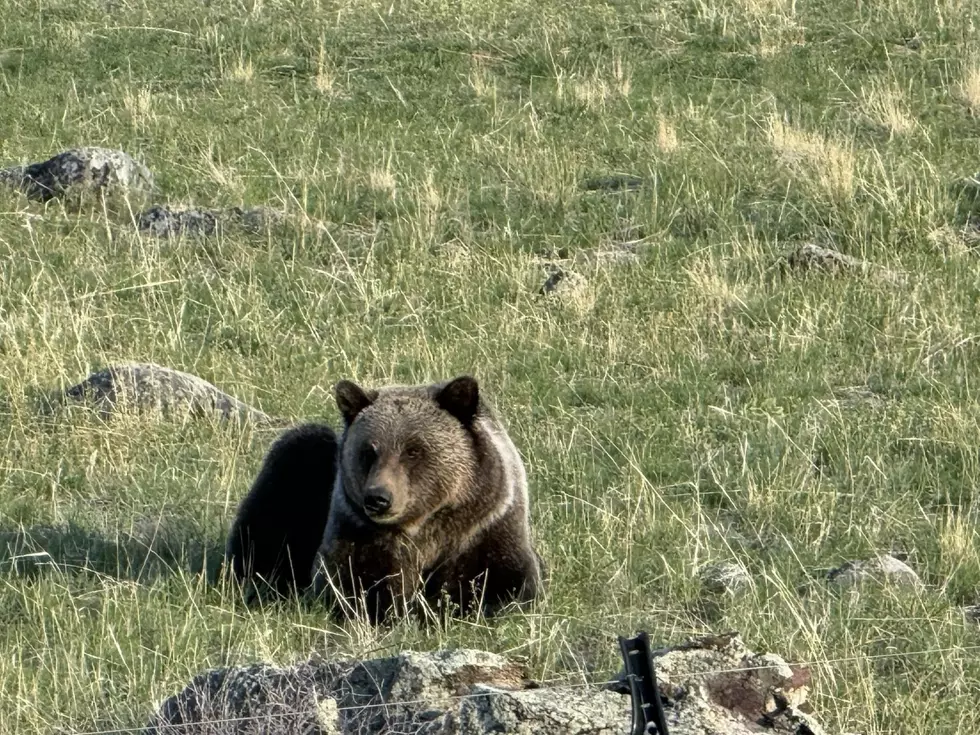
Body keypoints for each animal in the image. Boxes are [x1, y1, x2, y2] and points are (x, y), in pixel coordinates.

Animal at [310, 375, 545, 624]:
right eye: (369, 451)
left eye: (412, 450)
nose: (378, 498)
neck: (423, 528)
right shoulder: (357, 532)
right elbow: (345, 584)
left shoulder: (486, 527)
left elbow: (507, 583)